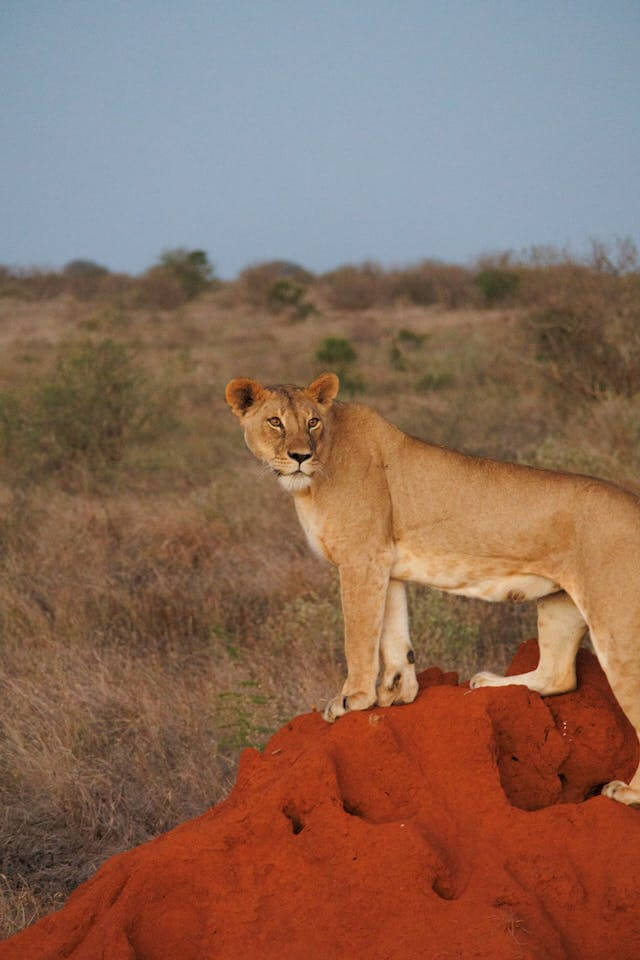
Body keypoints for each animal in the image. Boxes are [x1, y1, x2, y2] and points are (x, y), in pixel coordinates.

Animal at [225, 371, 640, 807]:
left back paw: (626, 792)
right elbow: (393, 636)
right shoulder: (385, 564)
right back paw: (487, 684)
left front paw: (353, 698)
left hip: (617, 627)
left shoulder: (362, 559)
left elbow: (358, 636)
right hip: (559, 604)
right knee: (559, 675)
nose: (300, 456)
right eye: (275, 421)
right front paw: (398, 692)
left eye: (312, 422)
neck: (312, 481)